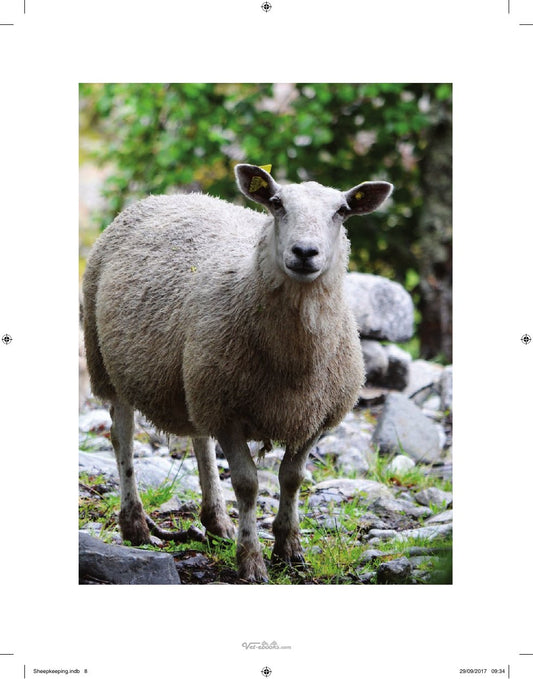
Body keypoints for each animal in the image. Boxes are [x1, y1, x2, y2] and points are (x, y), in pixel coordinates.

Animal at [82, 164, 393, 582]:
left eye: (341, 211)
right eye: (276, 204)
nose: (304, 252)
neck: (294, 364)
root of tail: (170, 196)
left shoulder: (314, 418)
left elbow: (292, 479)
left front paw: (289, 550)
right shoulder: (228, 413)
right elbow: (247, 485)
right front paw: (251, 560)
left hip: (196, 379)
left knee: (199, 441)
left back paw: (216, 521)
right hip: (106, 361)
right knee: (122, 438)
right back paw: (135, 525)